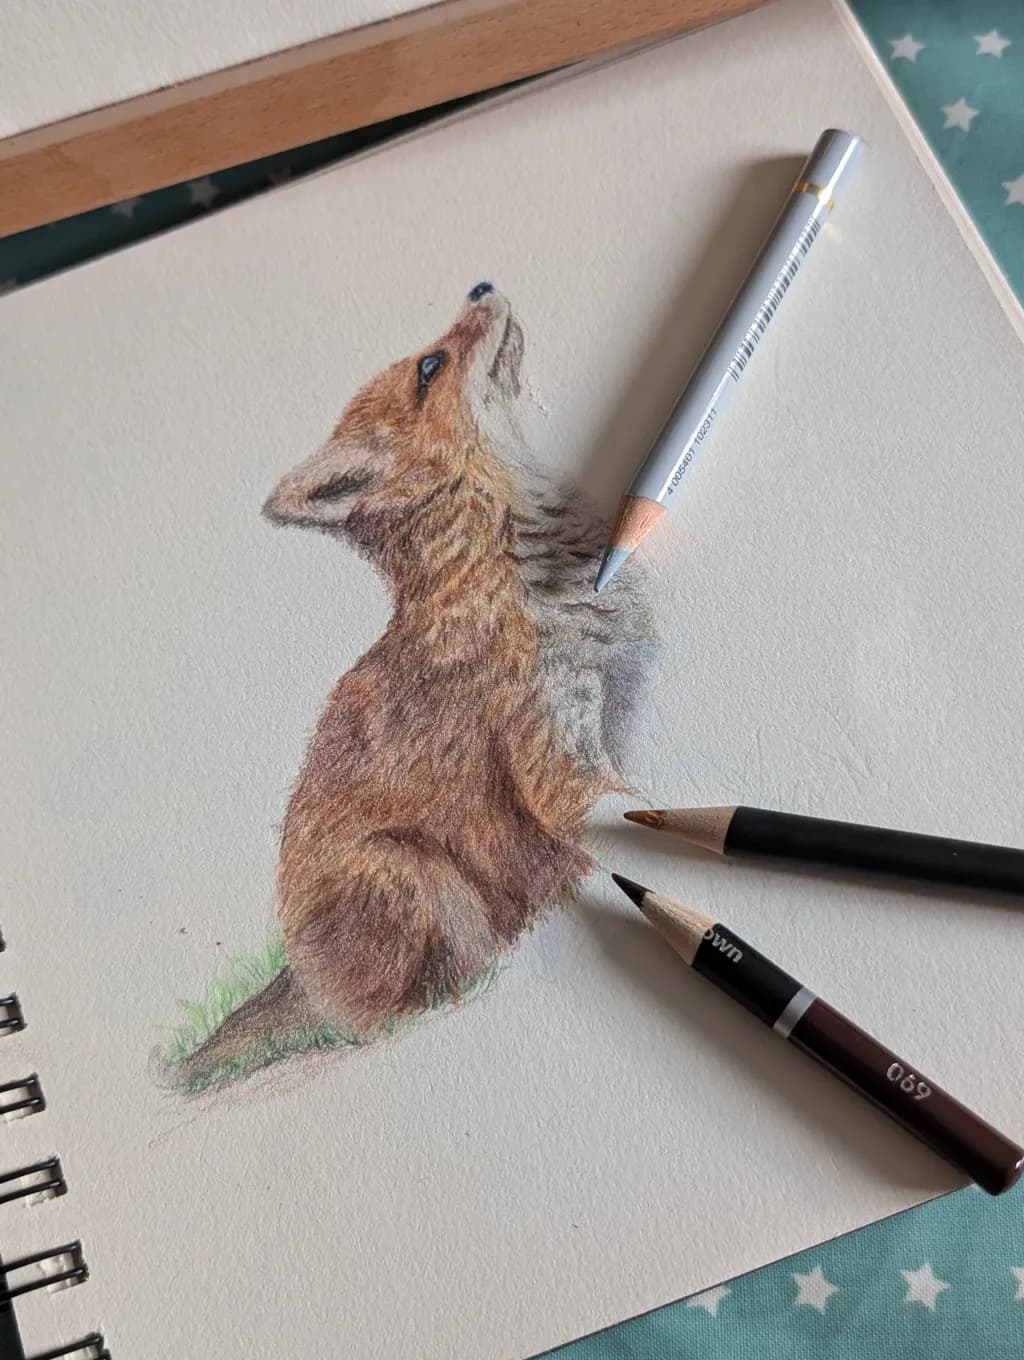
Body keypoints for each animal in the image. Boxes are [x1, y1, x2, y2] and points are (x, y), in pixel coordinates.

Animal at [175, 283, 655, 1080]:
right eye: (430, 366)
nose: (481, 285)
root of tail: (300, 978)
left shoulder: (616, 712)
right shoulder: (557, 766)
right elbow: (631, 819)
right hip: (412, 874)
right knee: (406, 1010)